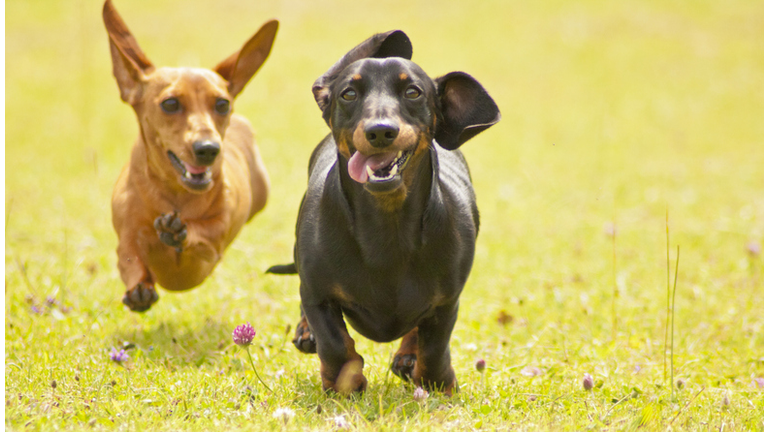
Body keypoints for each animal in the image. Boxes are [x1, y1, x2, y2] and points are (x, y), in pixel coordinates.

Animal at [104, 0, 280, 312]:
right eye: (170, 103)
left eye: (222, 104)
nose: (208, 149)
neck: (176, 195)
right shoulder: (126, 240)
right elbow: (130, 257)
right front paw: (139, 288)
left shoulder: (212, 247)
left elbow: (201, 234)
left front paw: (178, 231)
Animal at [268, 31, 500, 394]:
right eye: (348, 93)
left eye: (413, 92)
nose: (380, 131)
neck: (386, 226)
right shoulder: (317, 294)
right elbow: (334, 343)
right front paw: (344, 384)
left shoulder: (446, 302)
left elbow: (434, 345)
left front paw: (437, 383)